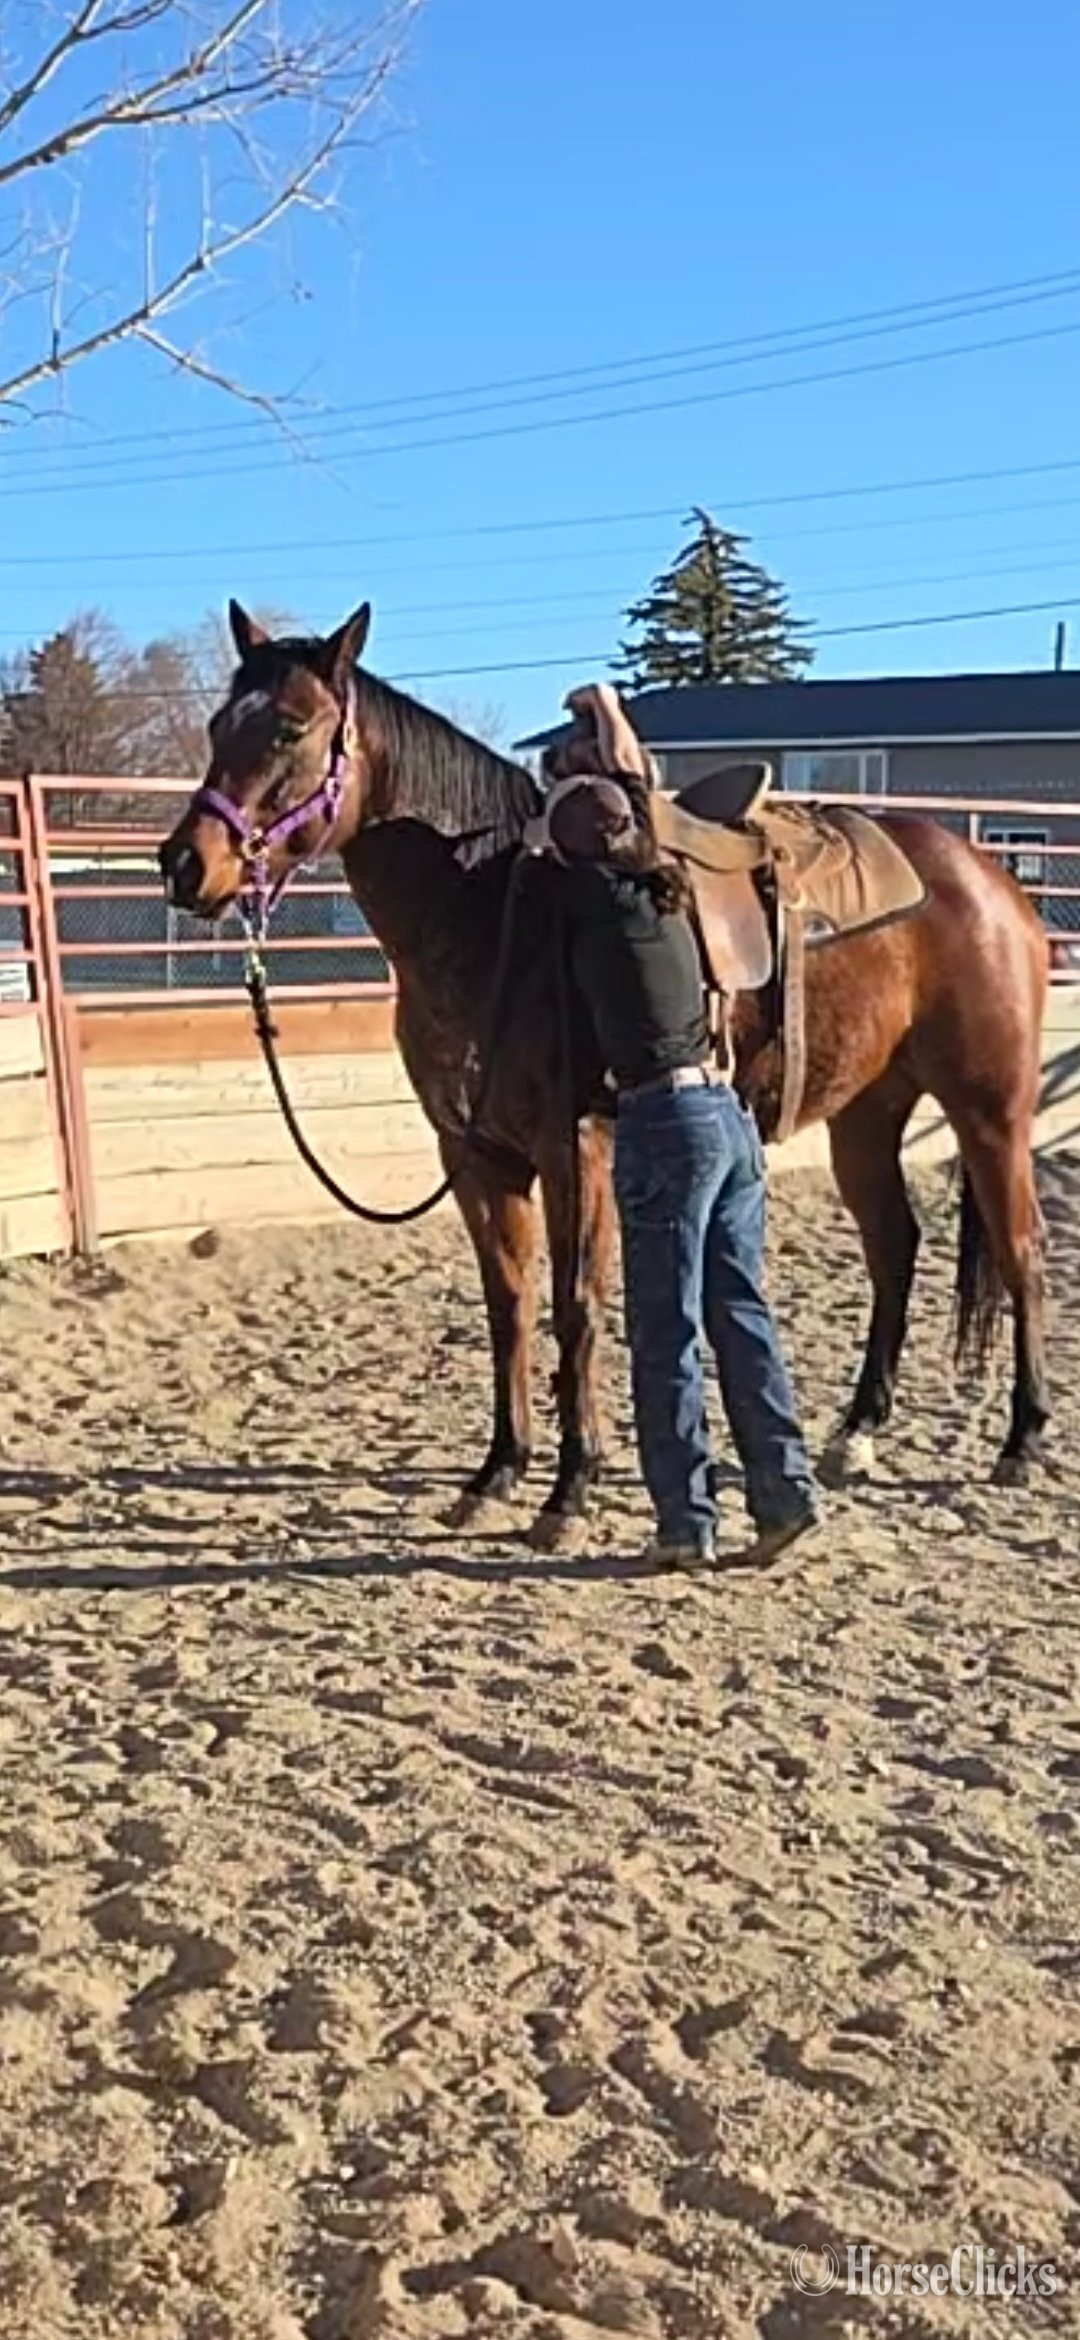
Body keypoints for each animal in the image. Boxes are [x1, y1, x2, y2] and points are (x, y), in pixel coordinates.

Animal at [158, 600, 1049, 1547]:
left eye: (291, 727)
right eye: (219, 725)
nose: (184, 864)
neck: (496, 916)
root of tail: (993, 881)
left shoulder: (573, 1150)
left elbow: (576, 1305)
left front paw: (569, 1487)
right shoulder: (472, 1158)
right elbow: (509, 1307)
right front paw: (497, 1472)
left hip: (991, 1112)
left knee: (1021, 1249)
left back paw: (1023, 1441)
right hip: (867, 1114)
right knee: (895, 1250)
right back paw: (858, 1432)